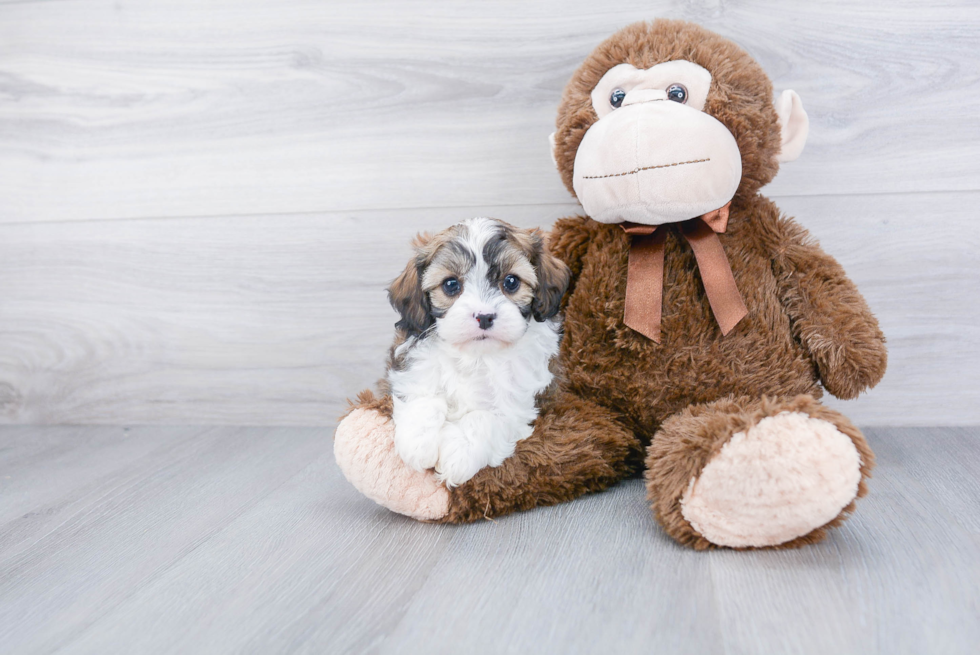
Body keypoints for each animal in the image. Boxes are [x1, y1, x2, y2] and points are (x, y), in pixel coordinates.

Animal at [380, 218, 568, 490]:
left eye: (511, 282)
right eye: (451, 284)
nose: (484, 316)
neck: (477, 356)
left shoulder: (522, 403)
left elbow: (485, 418)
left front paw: (459, 453)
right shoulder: (411, 366)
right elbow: (424, 396)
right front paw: (417, 442)